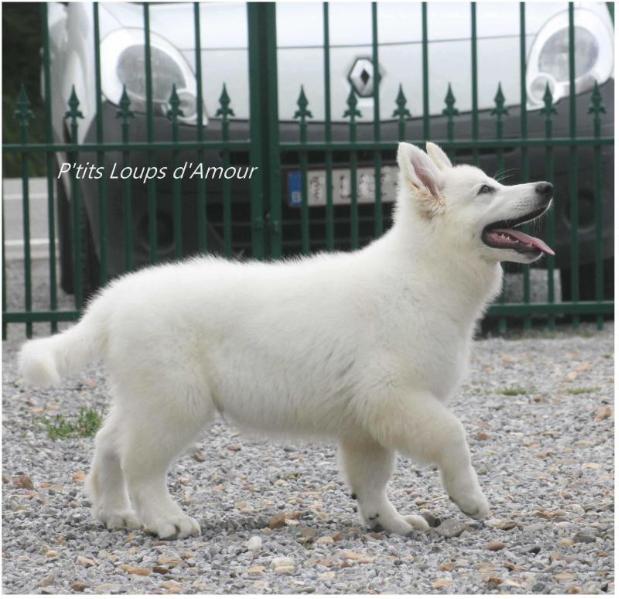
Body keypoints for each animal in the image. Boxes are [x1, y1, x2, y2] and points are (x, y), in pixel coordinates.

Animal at [19, 143, 556, 540]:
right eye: (486, 190)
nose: (547, 186)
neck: (422, 273)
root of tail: (112, 300)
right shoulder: (395, 397)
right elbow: (453, 435)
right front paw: (470, 499)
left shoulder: (366, 420)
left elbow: (372, 479)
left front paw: (387, 520)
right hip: (175, 404)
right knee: (140, 463)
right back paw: (166, 520)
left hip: (145, 397)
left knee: (108, 443)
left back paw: (113, 512)